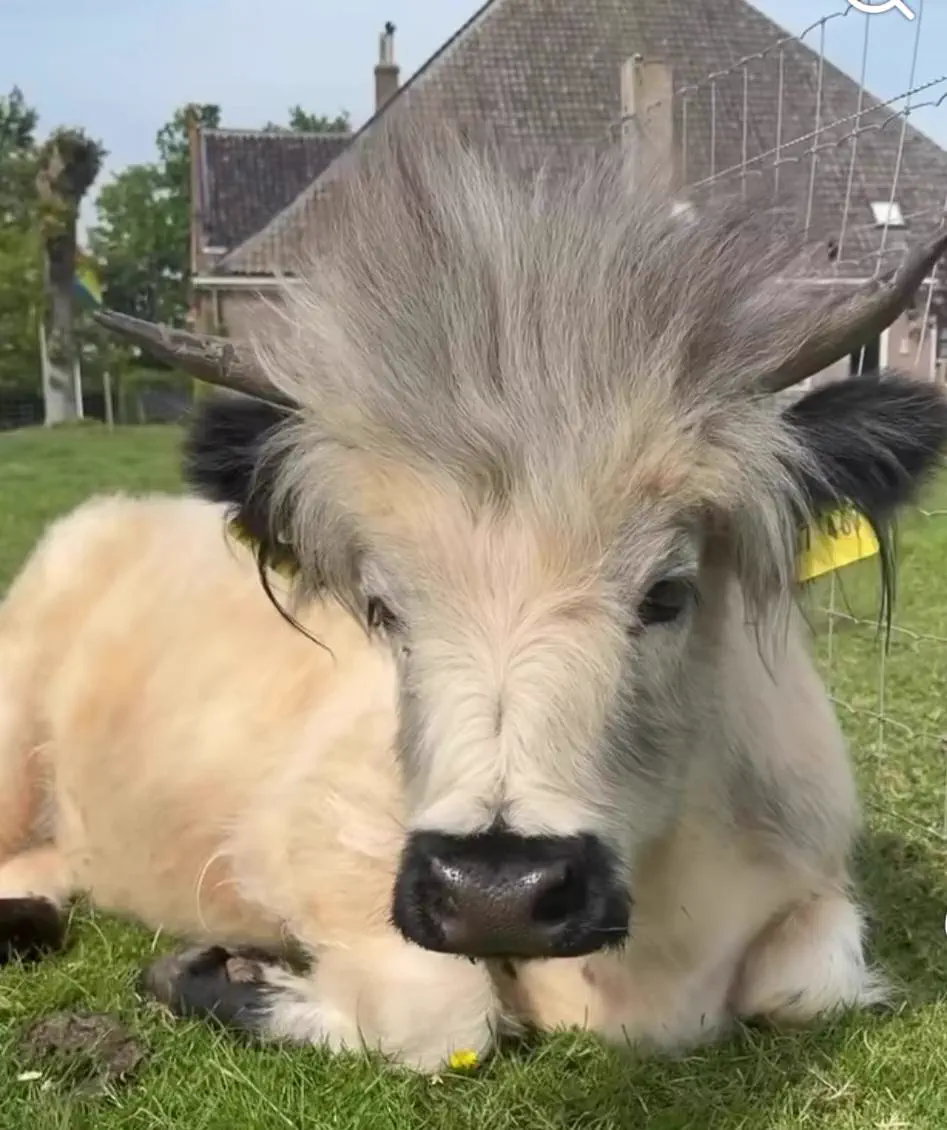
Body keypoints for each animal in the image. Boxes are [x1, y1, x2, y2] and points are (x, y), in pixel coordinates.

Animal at [2, 118, 947, 1074]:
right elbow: (448, 1018)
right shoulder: (297, 848)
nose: (498, 889)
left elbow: (808, 988)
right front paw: (215, 973)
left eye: (666, 592)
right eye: (383, 610)